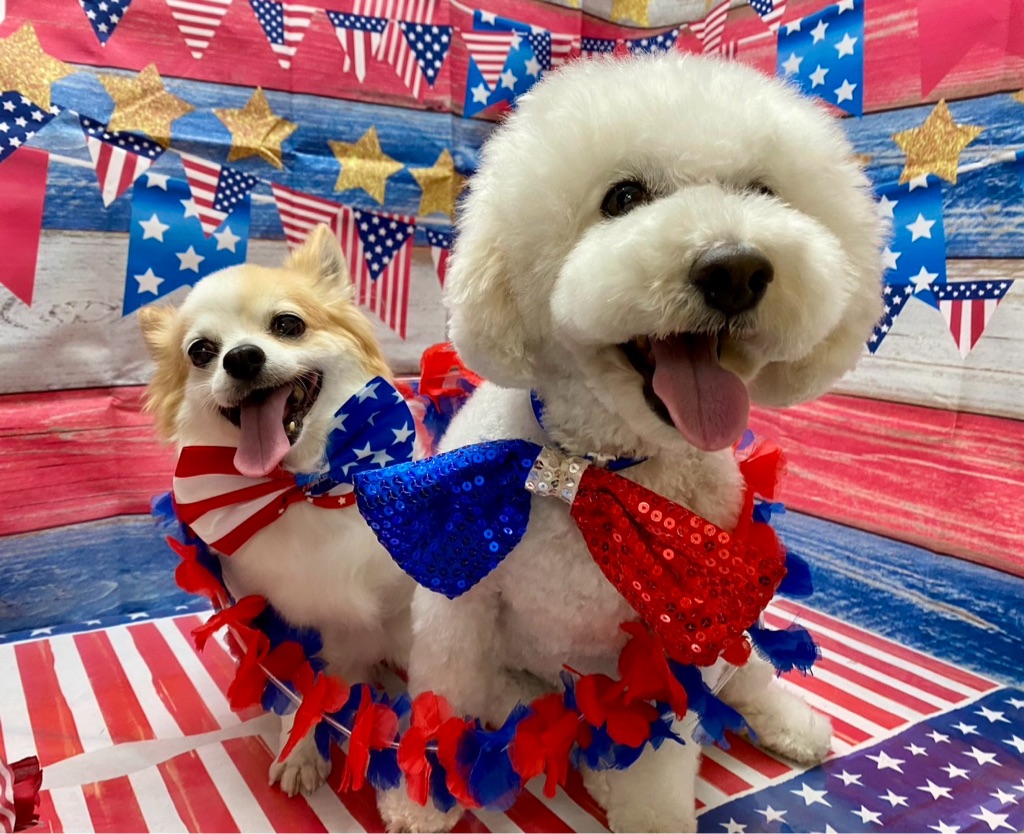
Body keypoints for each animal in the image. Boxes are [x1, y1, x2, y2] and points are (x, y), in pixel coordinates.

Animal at [139, 224, 415, 797]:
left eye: (288, 325)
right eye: (201, 352)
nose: (241, 357)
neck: (303, 486)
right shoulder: (270, 618)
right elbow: (298, 689)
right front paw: (302, 749)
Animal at [378, 53, 885, 832]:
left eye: (762, 191)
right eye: (621, 197)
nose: (736, 268)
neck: (593, 468)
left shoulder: (678, 630)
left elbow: (659, 757)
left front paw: (648, 810)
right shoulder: (459, 592)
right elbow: (446, 696)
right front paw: (422, 796)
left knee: (749, 677)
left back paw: (791, 724)